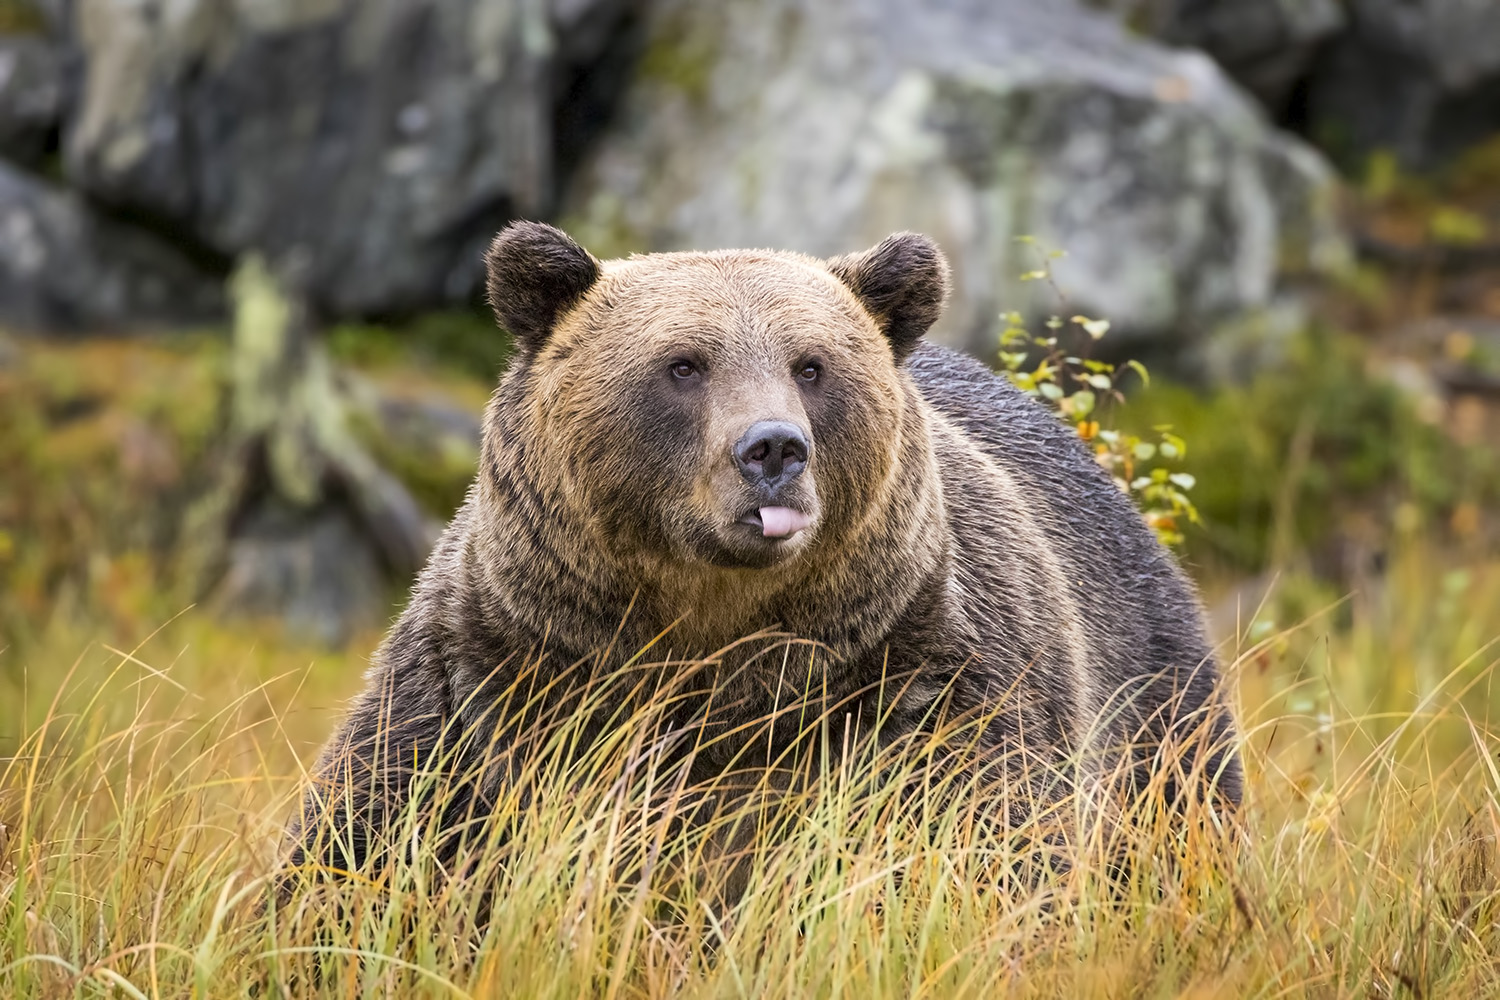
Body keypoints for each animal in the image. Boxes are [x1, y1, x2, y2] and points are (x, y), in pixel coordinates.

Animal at [286, 220, 1236, 881]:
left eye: (811, 365)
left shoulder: (935, 681)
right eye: (683, 364)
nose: (774, 448)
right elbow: (370, 840)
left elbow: (989, 843)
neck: (714, 634)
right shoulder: (495, 676)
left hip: (1154, 699)